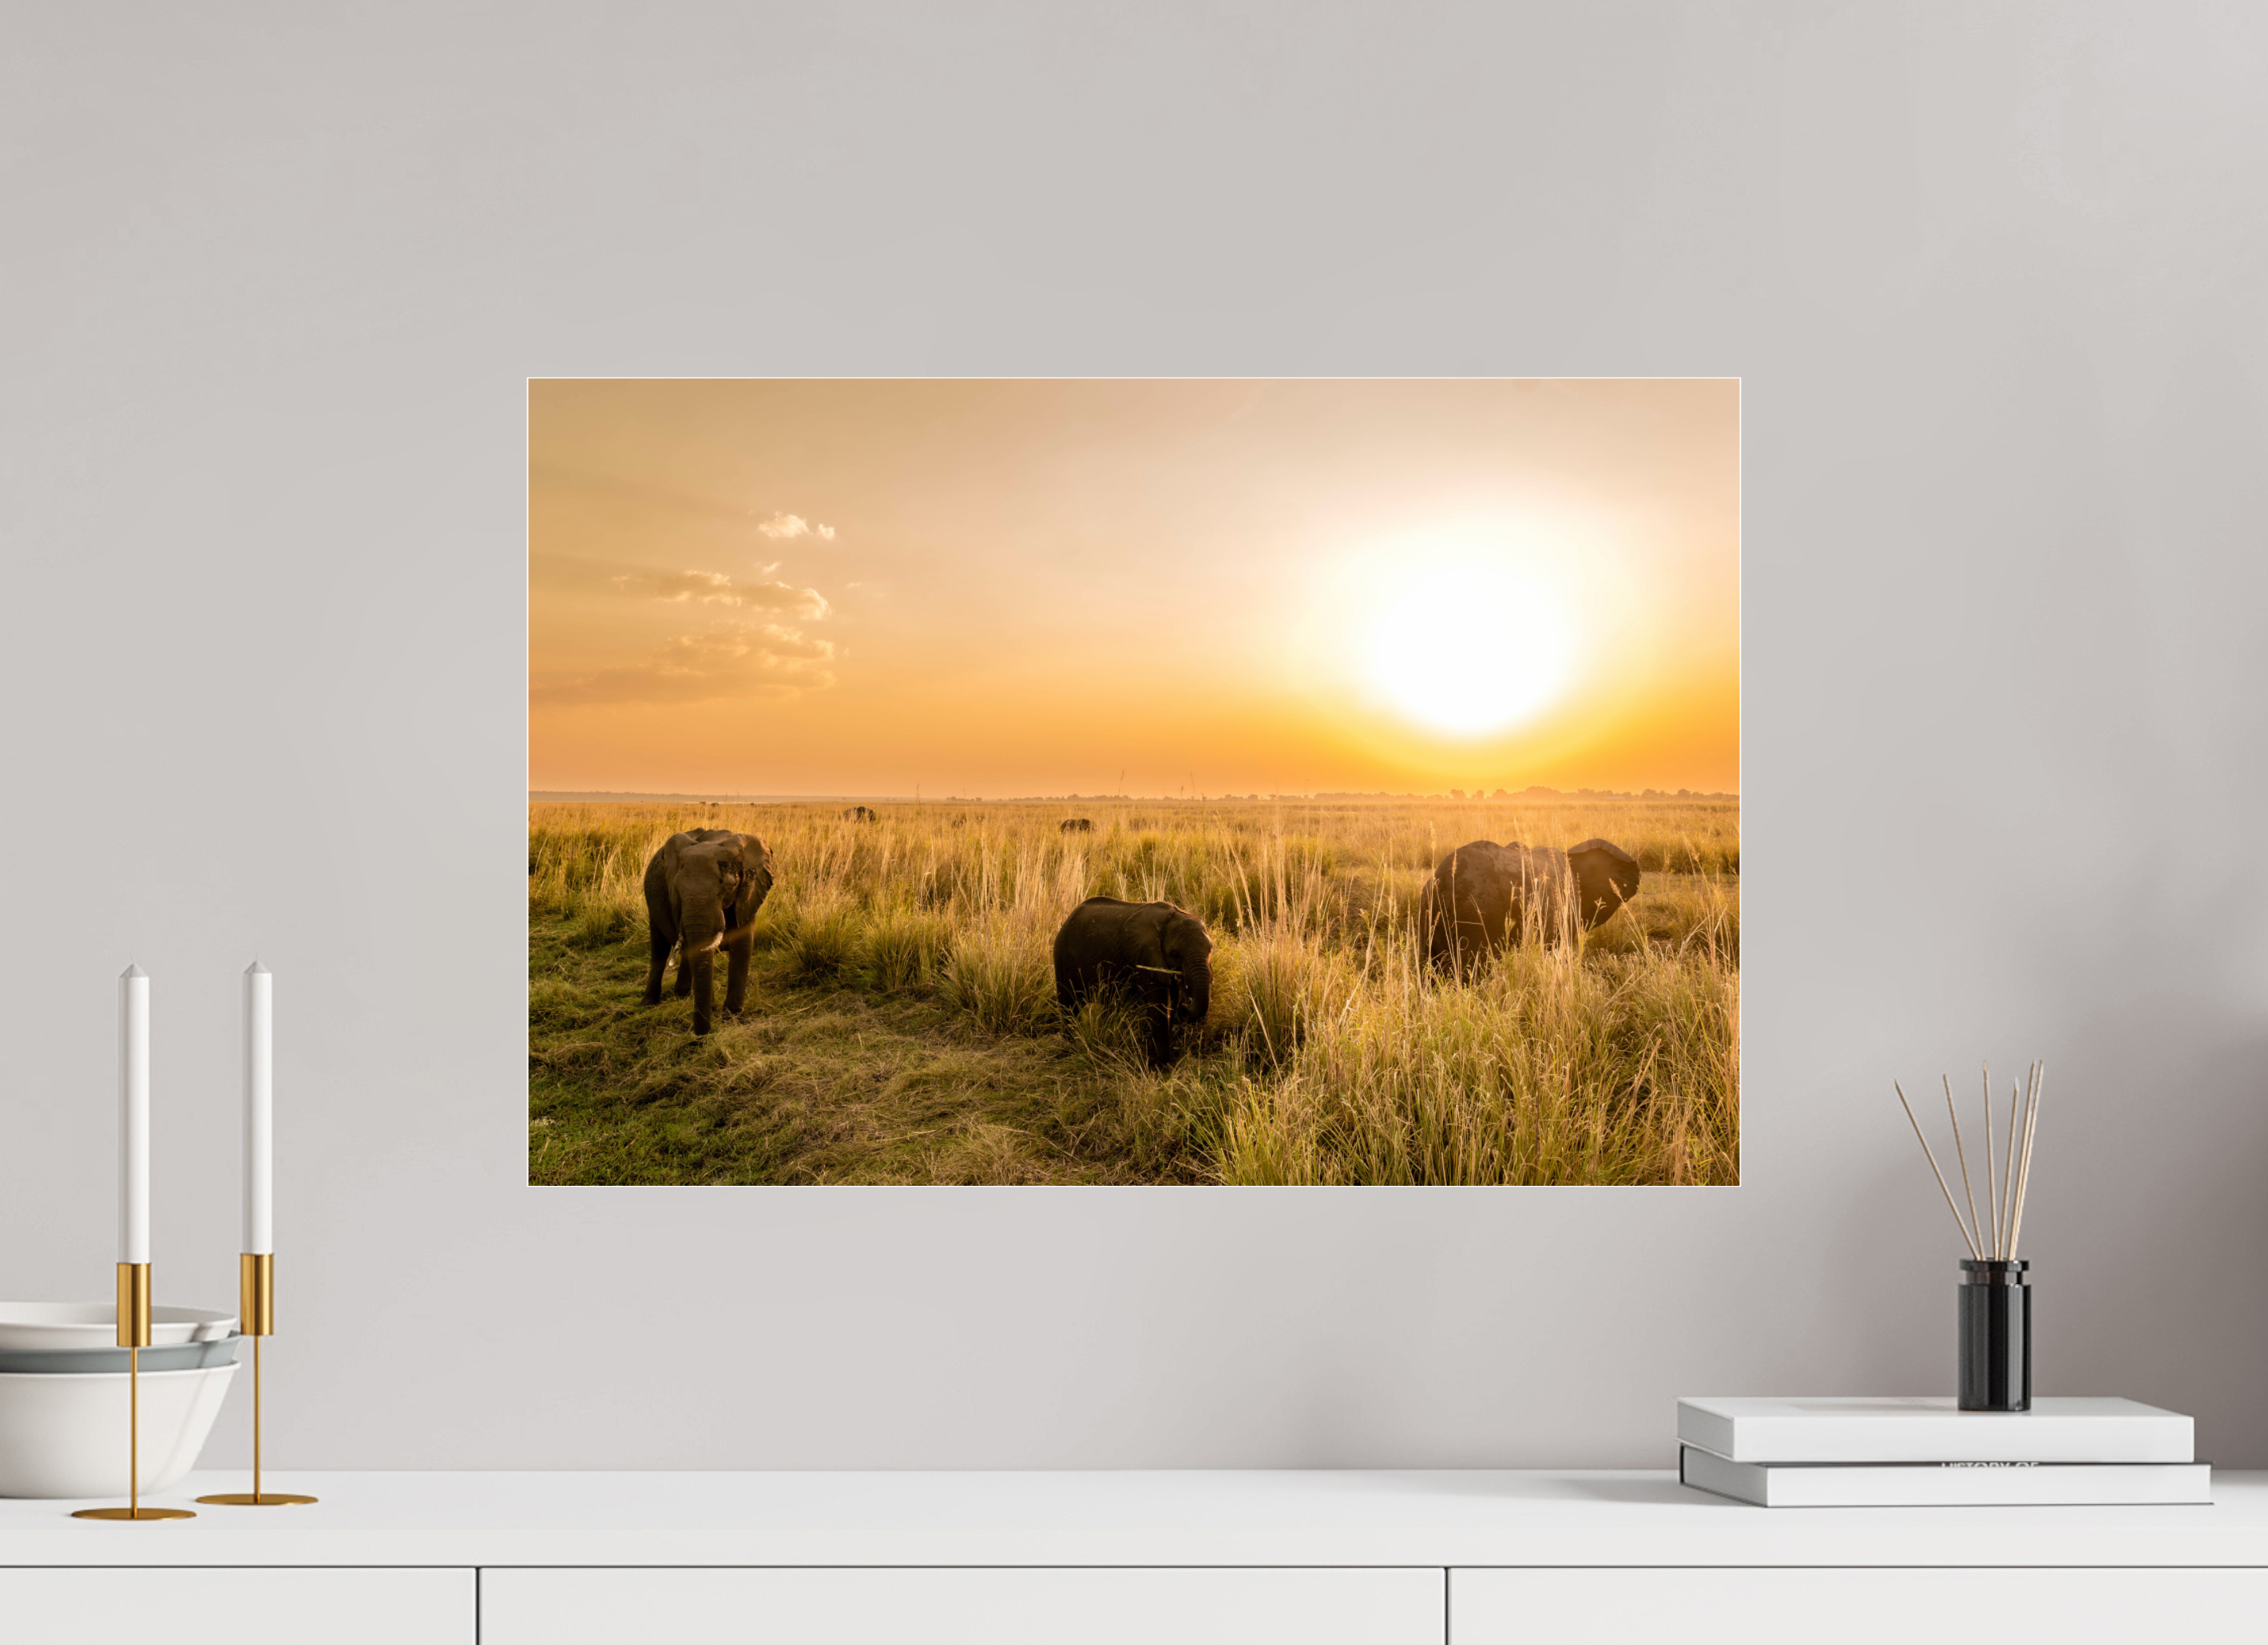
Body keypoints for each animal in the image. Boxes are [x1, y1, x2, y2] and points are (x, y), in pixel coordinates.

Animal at [642, 829, 775, 1035]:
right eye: (677, 889)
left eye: (730, 887)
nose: (702, 1035)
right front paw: (711, 1010)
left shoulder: (748, 897)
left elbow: (743, 949)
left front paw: (733, 1018)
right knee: (659, 950)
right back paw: (649, 1004)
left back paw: (682, 995)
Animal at [1052, 897, 1213, 1068]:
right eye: (1175, 954)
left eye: (1210, 949)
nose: (1188, 1002)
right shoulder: (1145, 958)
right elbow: (1159, 1006)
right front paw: (1160, 1067)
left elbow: (1172, 1004)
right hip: (1063, 957)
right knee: (1069, 1007)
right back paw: (1068, 1050)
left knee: (1109, 1006)